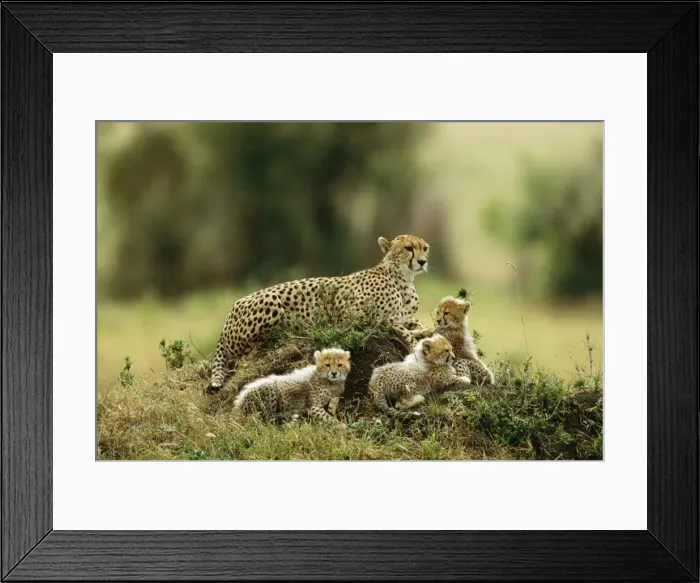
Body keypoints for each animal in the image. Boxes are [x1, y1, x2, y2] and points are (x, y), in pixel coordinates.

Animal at [206, 234, 432, 394]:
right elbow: (403, 331)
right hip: (271, 303)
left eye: (425, 248)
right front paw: (416, 344)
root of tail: (234, 306)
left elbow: (418, 325)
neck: (403, 279)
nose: (422, 262)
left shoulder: (403, 318)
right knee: (243, 355)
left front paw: (426, 333)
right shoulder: (360, 319)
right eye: (408, 248)